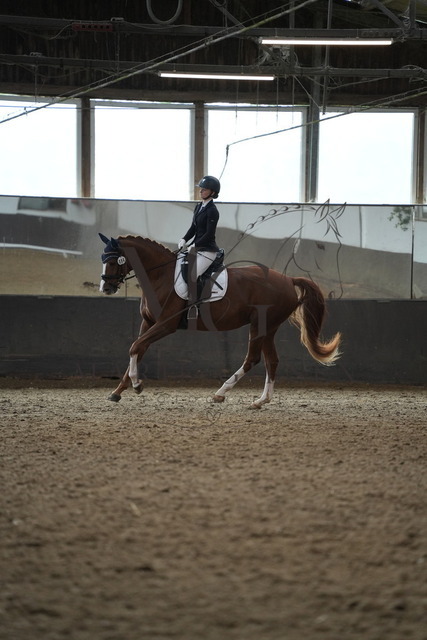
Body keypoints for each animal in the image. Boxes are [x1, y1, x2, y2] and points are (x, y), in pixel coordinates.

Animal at [99, 233, 341, 409]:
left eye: (112, 260)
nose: (106, 288)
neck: (161, 276)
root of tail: (288, 279)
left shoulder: (166, 325)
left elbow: (135, 346)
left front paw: (137, 384)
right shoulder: (148, 323)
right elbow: (138, 349)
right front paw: (118, 391)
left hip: (260, 325)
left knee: (252, 359)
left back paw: (220, 393)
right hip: (268, 328)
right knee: (271, 360)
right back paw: (260, 401)